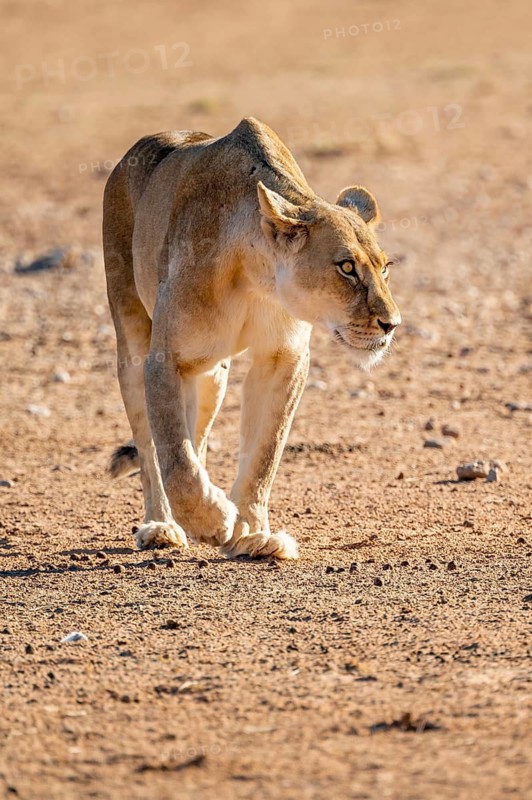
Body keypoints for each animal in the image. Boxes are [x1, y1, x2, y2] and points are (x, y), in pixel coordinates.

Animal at [103, 117, 401, 560]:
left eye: (385, 268)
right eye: (346, 267)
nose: (392, 323)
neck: (255, 277)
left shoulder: (283, 359)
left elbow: (264, 452)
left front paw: (254, 534)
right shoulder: (165, 359)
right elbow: (173, 453)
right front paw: (213, 521)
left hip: (212, 373)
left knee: (198, 437)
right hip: (131, 332)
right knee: (150, 443)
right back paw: (163, 525)